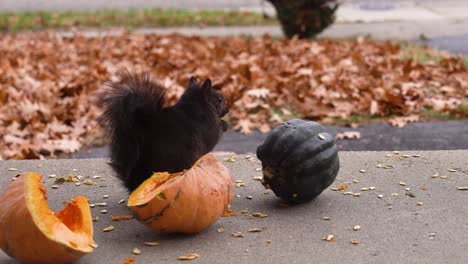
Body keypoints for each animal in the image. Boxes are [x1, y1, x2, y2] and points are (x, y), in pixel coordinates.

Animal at [99, 72, 229, 192]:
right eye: (219, 99)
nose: (228, 110)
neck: (196, 107)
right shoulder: (208, 128)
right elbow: (214, 136)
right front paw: (225, 124)